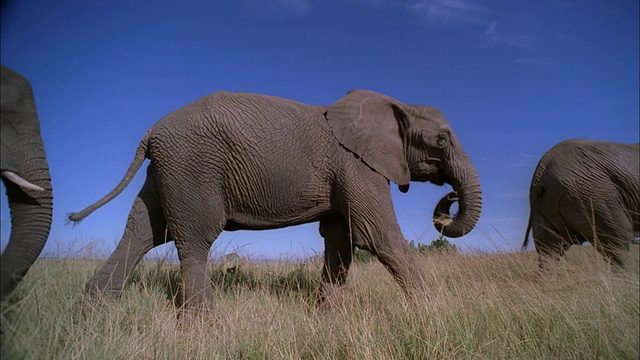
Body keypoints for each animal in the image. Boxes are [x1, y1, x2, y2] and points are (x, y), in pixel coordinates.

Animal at [69, 89, 480, 312]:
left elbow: (339, 239)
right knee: (194, 240)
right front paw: (435, 314)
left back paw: (91, 314)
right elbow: (378, 237)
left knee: (142, 232)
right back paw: (204, 325)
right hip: (192, 165)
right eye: (441, 139)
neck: (398, 104)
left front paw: (327, 318)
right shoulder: (357, 164)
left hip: (167, 171)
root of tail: (151, 132)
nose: (449, 196)